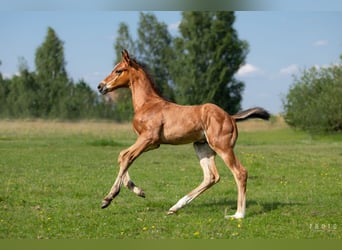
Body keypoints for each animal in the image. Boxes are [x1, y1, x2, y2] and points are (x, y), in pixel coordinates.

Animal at [97, 49, 268, 218]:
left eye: (118, 70)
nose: (100, 86)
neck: (147, 104)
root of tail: (231, 117)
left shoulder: (148, 138)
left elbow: (126, 157)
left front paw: (108, 198)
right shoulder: (153, 143)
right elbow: (122, 155)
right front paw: (139, 191)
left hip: (222, 147)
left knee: (240, 172)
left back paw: (238, 214)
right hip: (202, 146)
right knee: (211, 176)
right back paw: (175, 207)